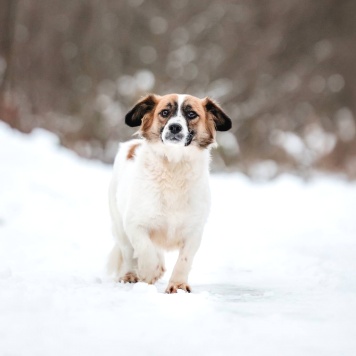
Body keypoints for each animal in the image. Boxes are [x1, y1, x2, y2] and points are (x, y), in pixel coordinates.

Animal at [107, 93, 232, 294]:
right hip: (119, 226)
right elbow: (145, 249)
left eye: (191, 114)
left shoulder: (194, 230)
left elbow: (184, 260)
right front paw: (150, 272)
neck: (174, 165)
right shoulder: (135, 224)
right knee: (128, 253)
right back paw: (130, 275)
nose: (175, 127)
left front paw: (178, 285)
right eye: (165, 112)